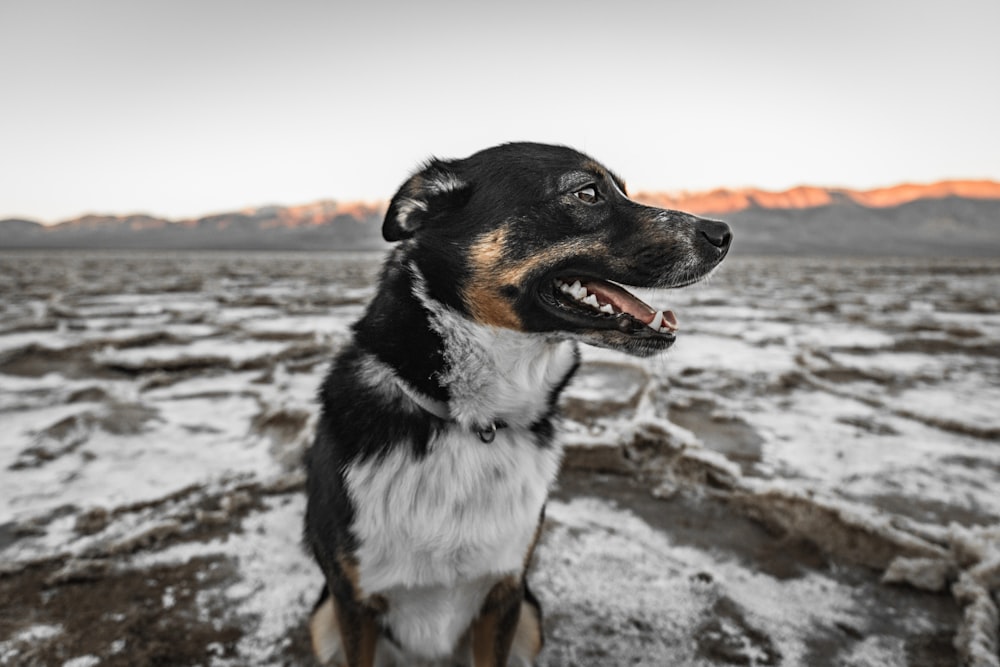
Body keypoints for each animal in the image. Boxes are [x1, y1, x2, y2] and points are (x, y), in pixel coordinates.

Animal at [300, 142, 732, 667]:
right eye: (587, 192)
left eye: (623, 190)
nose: (723, 232)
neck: (473, 421)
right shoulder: (353, 603)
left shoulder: (504, 595)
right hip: (323, 622)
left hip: (531, 619)